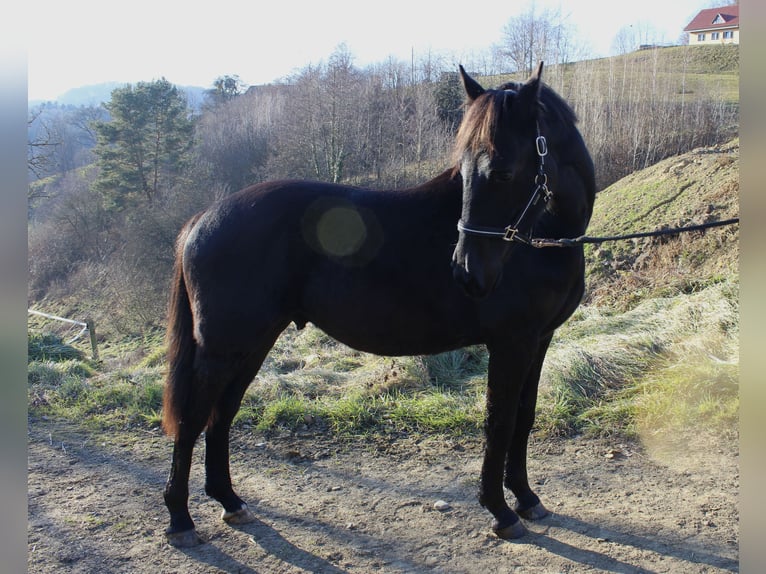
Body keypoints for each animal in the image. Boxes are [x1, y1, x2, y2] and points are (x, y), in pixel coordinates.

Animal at [162, 63, 596, 548]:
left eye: (501, 172)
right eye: (464, 171)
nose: (466, 272)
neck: (545, 238)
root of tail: (202, 219)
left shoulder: (538, 341)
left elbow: (524, 416)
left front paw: (525, 497)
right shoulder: (510, 344)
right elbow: (498, 421)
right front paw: (499, 510)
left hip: (252, 345)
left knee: (221, 415)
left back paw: (229, 501)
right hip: (222, 349)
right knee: (193, 418)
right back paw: (180, 519)